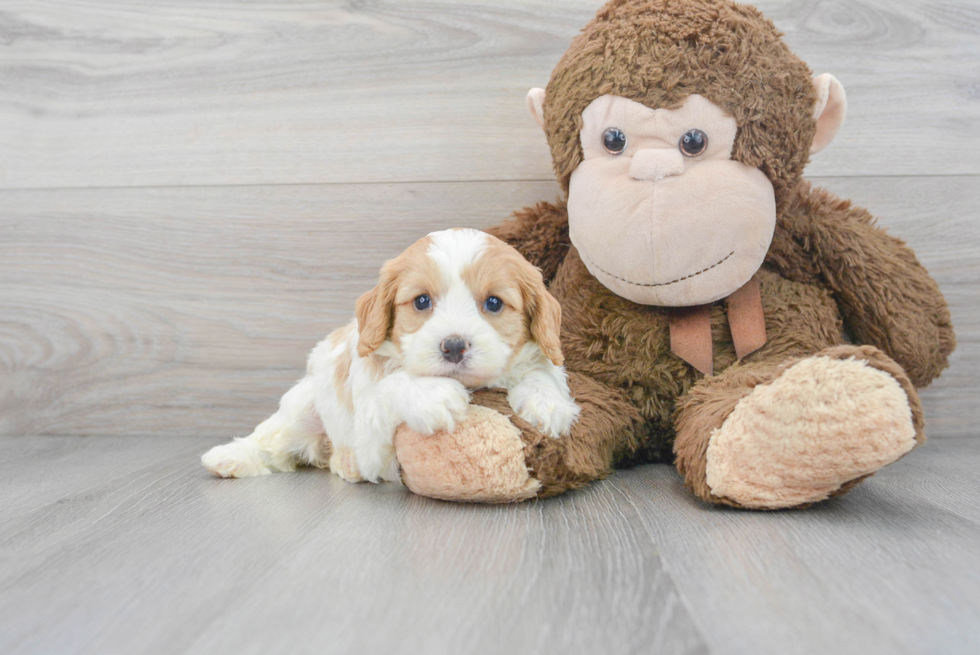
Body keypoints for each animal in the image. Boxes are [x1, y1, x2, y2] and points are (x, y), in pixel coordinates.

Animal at [202, 228, 580, 484]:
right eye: (422, 301)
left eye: (494, 303)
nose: (454, 346)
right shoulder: (371, 438)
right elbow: (391, 386)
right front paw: (432, 395)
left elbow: (543, 372)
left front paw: (546, 404)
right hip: (302, 407)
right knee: (272, 437)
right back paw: (230, 456)